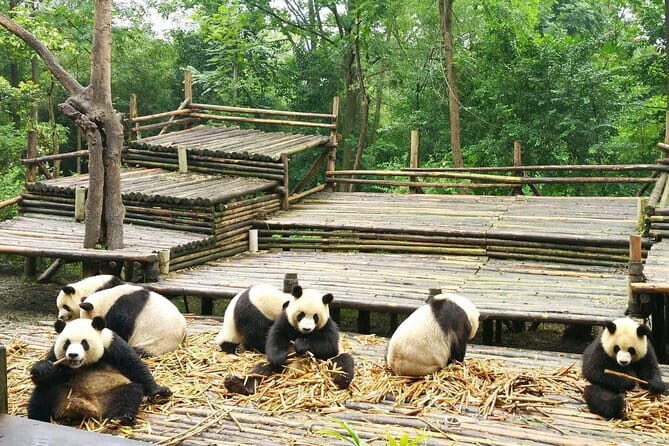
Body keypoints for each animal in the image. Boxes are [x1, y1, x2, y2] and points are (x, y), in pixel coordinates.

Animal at [27, 317, 171, 425]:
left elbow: (134, 366)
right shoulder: (56, 355)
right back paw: (38, 417)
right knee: (43, 393)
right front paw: (42, 369)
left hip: (111, 391)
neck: (85, 364)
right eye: (66, 343)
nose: (73, 355)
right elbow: (50, 374)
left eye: (84, 343)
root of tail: (87, 407)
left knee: (128, 394)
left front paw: (159, 391)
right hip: (63, 392)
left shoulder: (112, 345)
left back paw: (122, 418)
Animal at [224, 285, 355, 394]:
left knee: (342, 362)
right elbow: (269, 337)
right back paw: (238, 385)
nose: (306, 328)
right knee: (261, 370)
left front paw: (300, 344)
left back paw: (341, 379)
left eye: (315, 317)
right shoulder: (253, 313)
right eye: (300, 315)